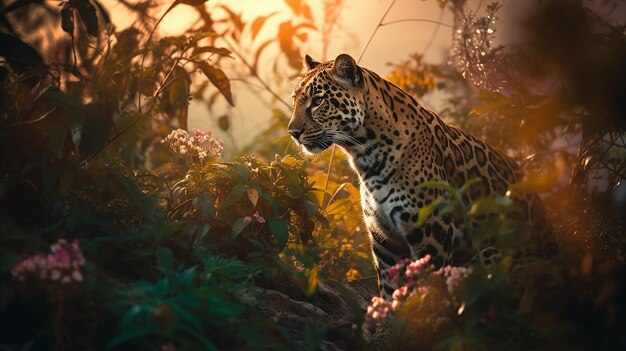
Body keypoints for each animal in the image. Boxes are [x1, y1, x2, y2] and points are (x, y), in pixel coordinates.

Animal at [288, 53, 556, 298]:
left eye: (318, 101)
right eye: (295, 101)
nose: (293, 132)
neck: (365, 156)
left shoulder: (431, 236)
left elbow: (427, 294)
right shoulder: (385, 244)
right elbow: (390, 295)